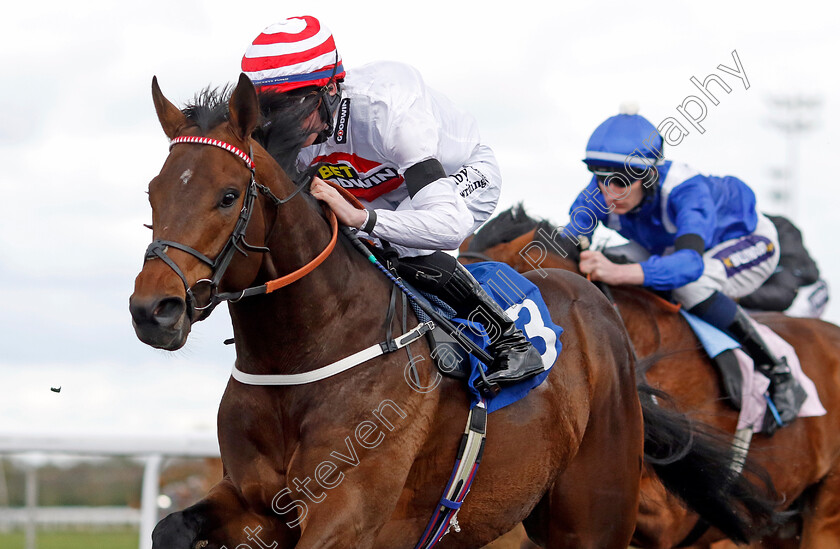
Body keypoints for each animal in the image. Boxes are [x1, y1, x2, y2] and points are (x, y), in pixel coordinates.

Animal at [128, 74, 776, 548]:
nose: (153, 309)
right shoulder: (256, 502)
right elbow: (170, 527)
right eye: (153, 193)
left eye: (228, 196)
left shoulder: (347, 514)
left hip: (594, 511)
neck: (304, 353)